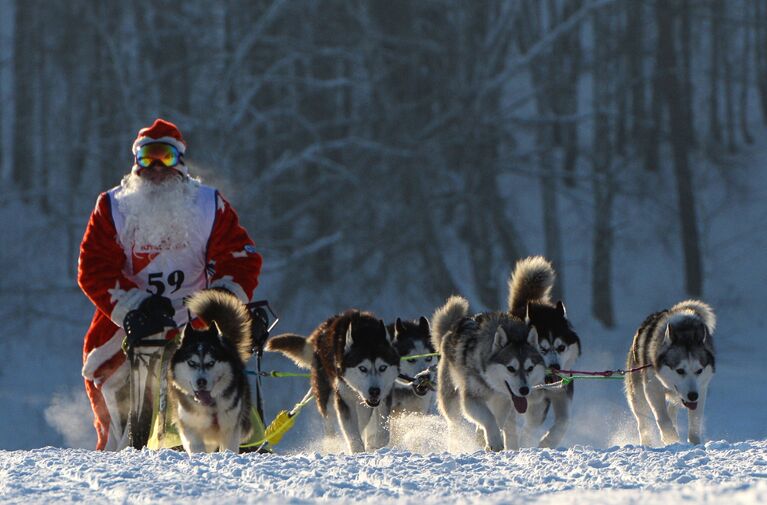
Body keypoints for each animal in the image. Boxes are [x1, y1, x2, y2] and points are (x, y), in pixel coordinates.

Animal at [168, 290, 252, 454]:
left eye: (211, 363)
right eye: (191, 363)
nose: (201, 382)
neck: (210, 407)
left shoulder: (230, 428)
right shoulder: (191, 428)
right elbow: (197, 447)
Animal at [266, 310, 400, 450]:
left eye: (382, 367)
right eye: (362, 368)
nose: (374, 391)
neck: (366, 334)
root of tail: (321, 330)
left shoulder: (384, 394)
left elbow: (383, 429)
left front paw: (375, 443)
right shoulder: (344, 399)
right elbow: (353, 434)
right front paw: (358, 449)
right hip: (324, 393)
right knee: (329, 420)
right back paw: (332, 443)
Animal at [432, 294, 544, 450]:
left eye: (530, 368)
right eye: (511, 368)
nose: (524, 390)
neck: (492, 385)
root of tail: (451, 330)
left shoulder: (505, 402)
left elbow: (497, 419)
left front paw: (487, 438)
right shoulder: (471, 398)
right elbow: (489, 418)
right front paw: (495, 441)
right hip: (451, 399)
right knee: (455, 424)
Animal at [510, 256, 584, 444]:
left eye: (561, 347)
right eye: (541, 349)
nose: (555, 367)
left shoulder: (560, 392)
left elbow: (563, 422)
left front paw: (547, 442)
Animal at [628, 300, 716, 444]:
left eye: (699, 370)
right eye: (680, 370)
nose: (693, 395)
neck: (685, 330)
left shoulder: (701, 389)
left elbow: (695, 421)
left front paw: (695, 442)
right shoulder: (653, 389)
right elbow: (663, 419)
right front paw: (671, 438)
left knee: (672, 409)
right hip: (638, 393)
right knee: (643, 421)